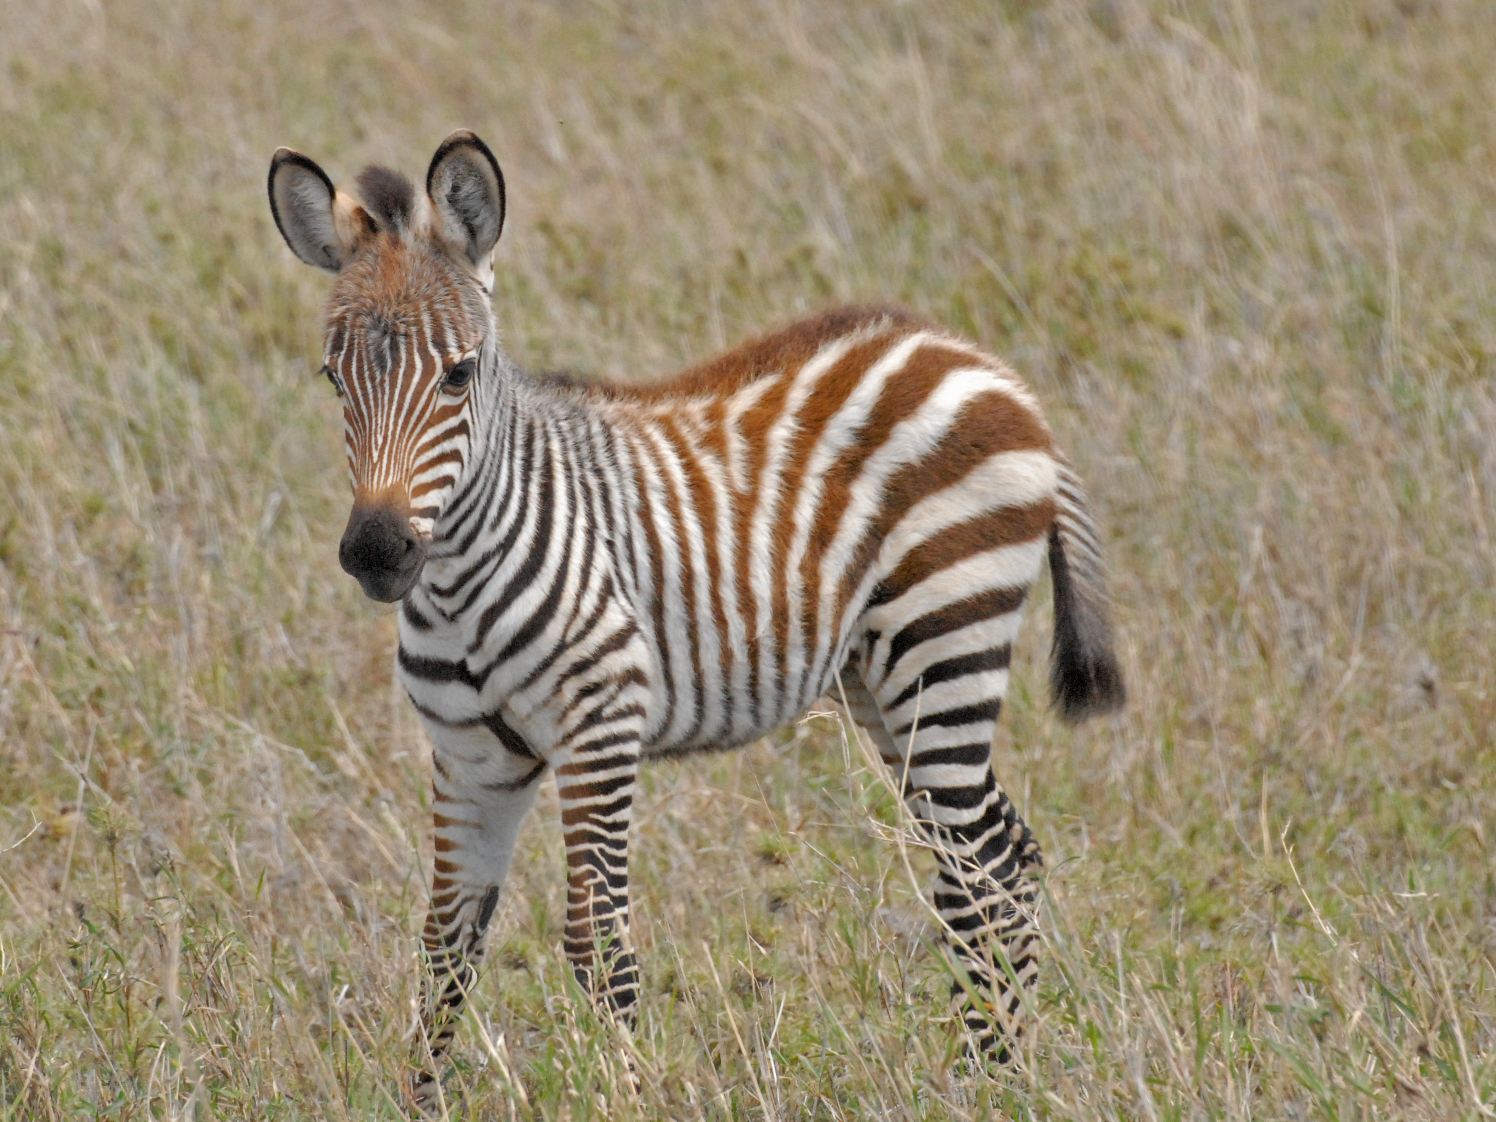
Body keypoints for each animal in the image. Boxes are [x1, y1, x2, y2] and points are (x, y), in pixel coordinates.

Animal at [266, 133, 1124, 1119]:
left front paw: (627, 1097)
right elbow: (445, 947)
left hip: (944, 641)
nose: (377, 551)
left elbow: (597, 945)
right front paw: (420, 1104)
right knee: (997, 859)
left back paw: (995, 1080)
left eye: (459, 374)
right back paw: (994, 1076)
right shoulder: (471, 755)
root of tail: (984, 365)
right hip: (882, 678)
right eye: (333, 379)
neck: (460, 581)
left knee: (985, 870)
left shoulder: (599, 727)